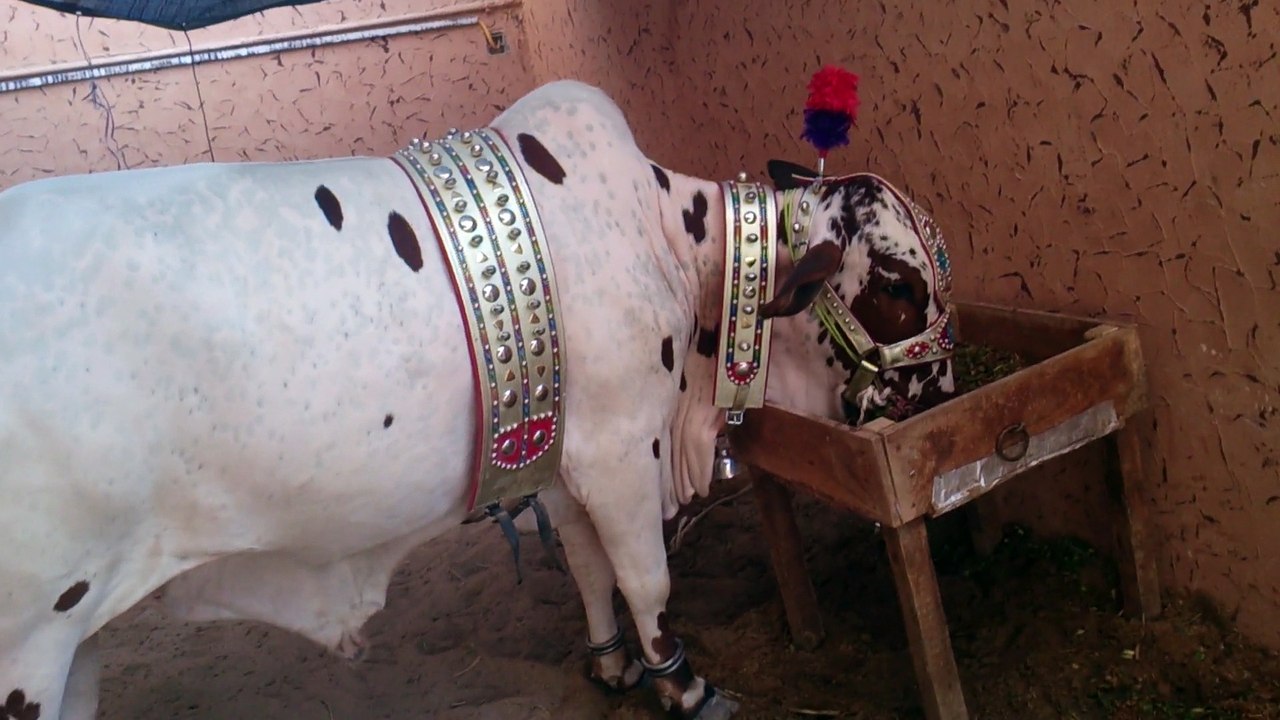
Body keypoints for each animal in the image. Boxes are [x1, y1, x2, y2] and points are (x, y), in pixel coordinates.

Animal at [0, 79, 955, 719]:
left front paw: (612, 667)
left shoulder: (564, 459)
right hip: (30, 647)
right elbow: (647, 576)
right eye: (898, 286)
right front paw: (681, 683)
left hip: (75, 646)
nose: (941, 395)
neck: (666, 237)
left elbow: (589, 569)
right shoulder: (619, 446)